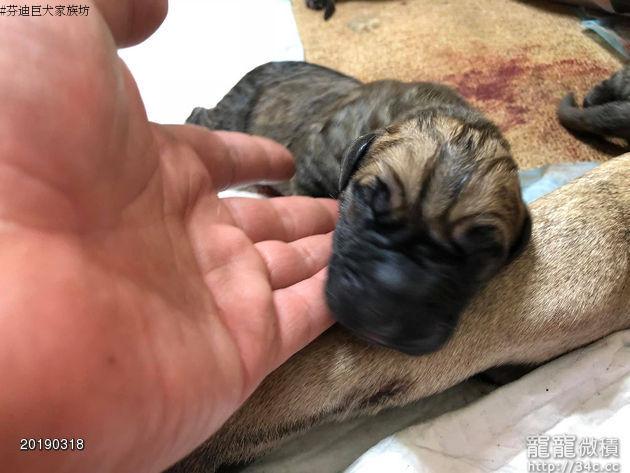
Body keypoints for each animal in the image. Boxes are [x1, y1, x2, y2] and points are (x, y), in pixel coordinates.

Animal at [188, 61, 530, 356]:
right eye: (367, 200)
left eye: (481, 254)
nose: (382, 315)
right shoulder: (310, 165)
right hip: (230, 119)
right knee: (202, 115)